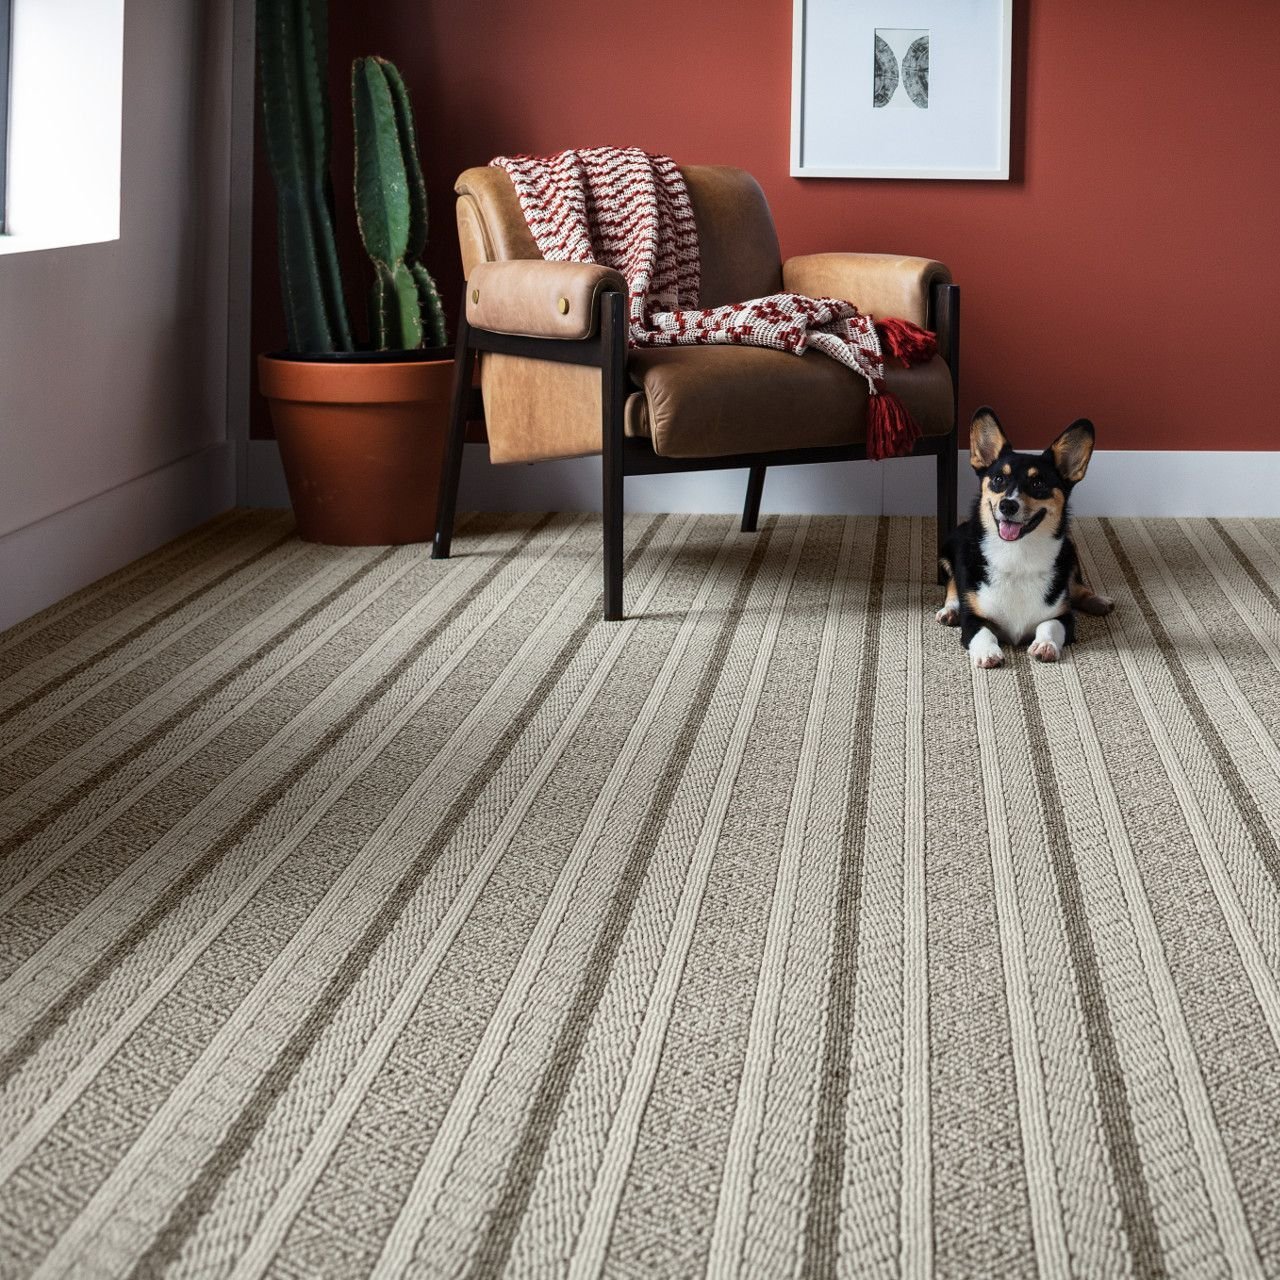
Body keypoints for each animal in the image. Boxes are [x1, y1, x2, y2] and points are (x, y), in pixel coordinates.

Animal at [936, 407, 1116, 670]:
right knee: (951, 585)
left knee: (1077, 587)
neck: (1017, 555)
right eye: (998, 479)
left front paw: (1045, 645)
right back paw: (950, 611)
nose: (1008, 505)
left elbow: (1049, 625)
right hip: (949, 550)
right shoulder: (972, 620)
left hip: (1070, 553)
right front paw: (988, 653)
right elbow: (984, 632)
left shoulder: (1064, 617)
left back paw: (1098, 601)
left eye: (1038, 482)